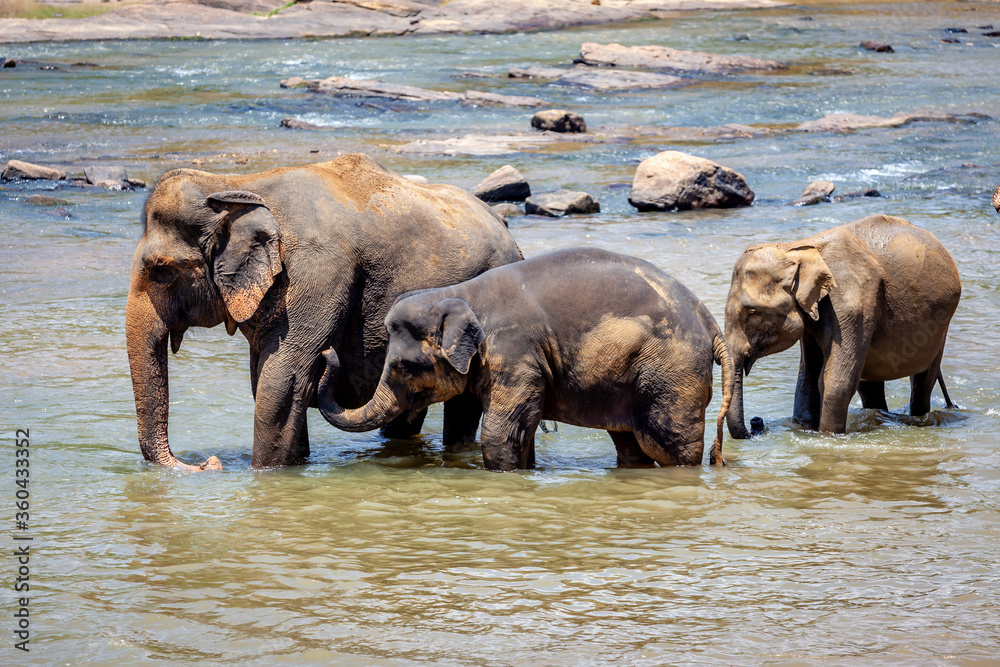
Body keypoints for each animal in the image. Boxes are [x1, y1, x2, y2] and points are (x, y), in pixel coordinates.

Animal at [126, 153, 522, 471]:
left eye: (161, 270)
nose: (210, 463)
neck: (236, 185)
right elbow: (265, 378)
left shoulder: (317, 275)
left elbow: (281, 381)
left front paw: (266, 474)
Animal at [315, 247, 736, 471]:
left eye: (402, 366)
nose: (326, 351)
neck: (461, 293)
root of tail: (711, 323)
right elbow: (523, 430)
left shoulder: (514, 353)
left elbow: (500, 433)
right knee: (631, 445)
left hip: (672, 377)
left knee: (672, 444)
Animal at [724, 214, 961, 438]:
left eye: (752, 312)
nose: (757, 423)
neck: (798, 248)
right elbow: (807, 379)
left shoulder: (853, 304)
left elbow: (834, 382)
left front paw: (828, 437)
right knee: (869, 383)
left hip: (940, 326)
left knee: (922, 381)